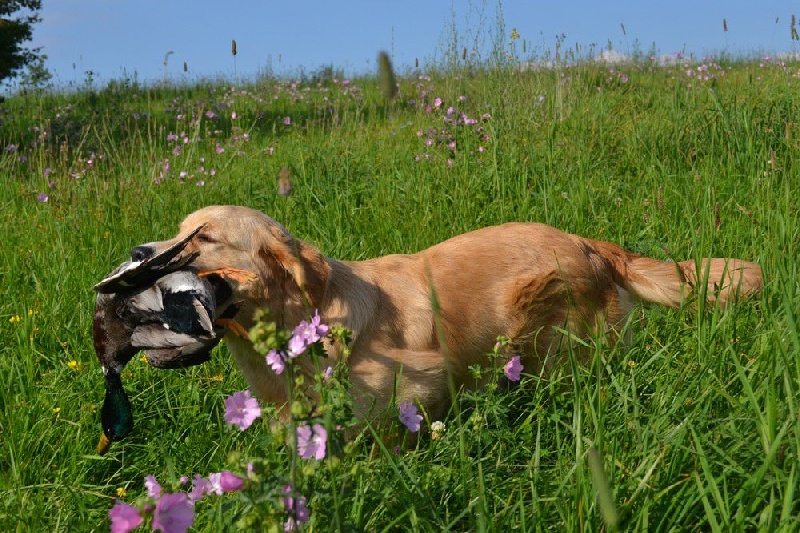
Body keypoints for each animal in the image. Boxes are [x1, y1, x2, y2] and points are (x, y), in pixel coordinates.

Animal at [133, 205, 762, 423]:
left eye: (202, 237)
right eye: (175, 230)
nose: (139, 253)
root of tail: (591, 244)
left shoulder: (418, 389)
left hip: (551, 345)